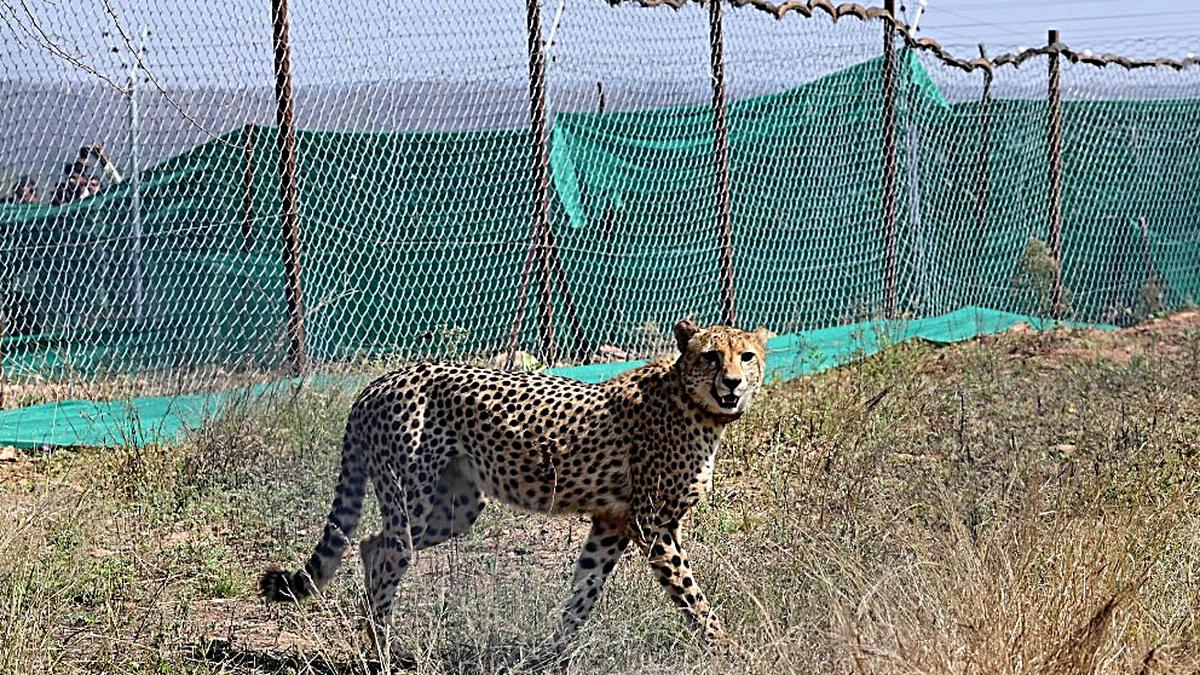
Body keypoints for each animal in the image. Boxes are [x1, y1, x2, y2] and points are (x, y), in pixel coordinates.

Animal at [259, 319, 769, 659]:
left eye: (746, 356)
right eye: (711, 356)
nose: (732, 382)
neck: (694, 402)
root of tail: (379, 382)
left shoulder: (611, 523)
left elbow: (582, 593)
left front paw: (554, 655)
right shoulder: (652, 525)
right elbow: (692, 597)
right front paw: (729, 649)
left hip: (456, 509)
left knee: (369, 543)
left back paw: (377, 638)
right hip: (414, 500)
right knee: (387, 551)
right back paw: (382, 651)